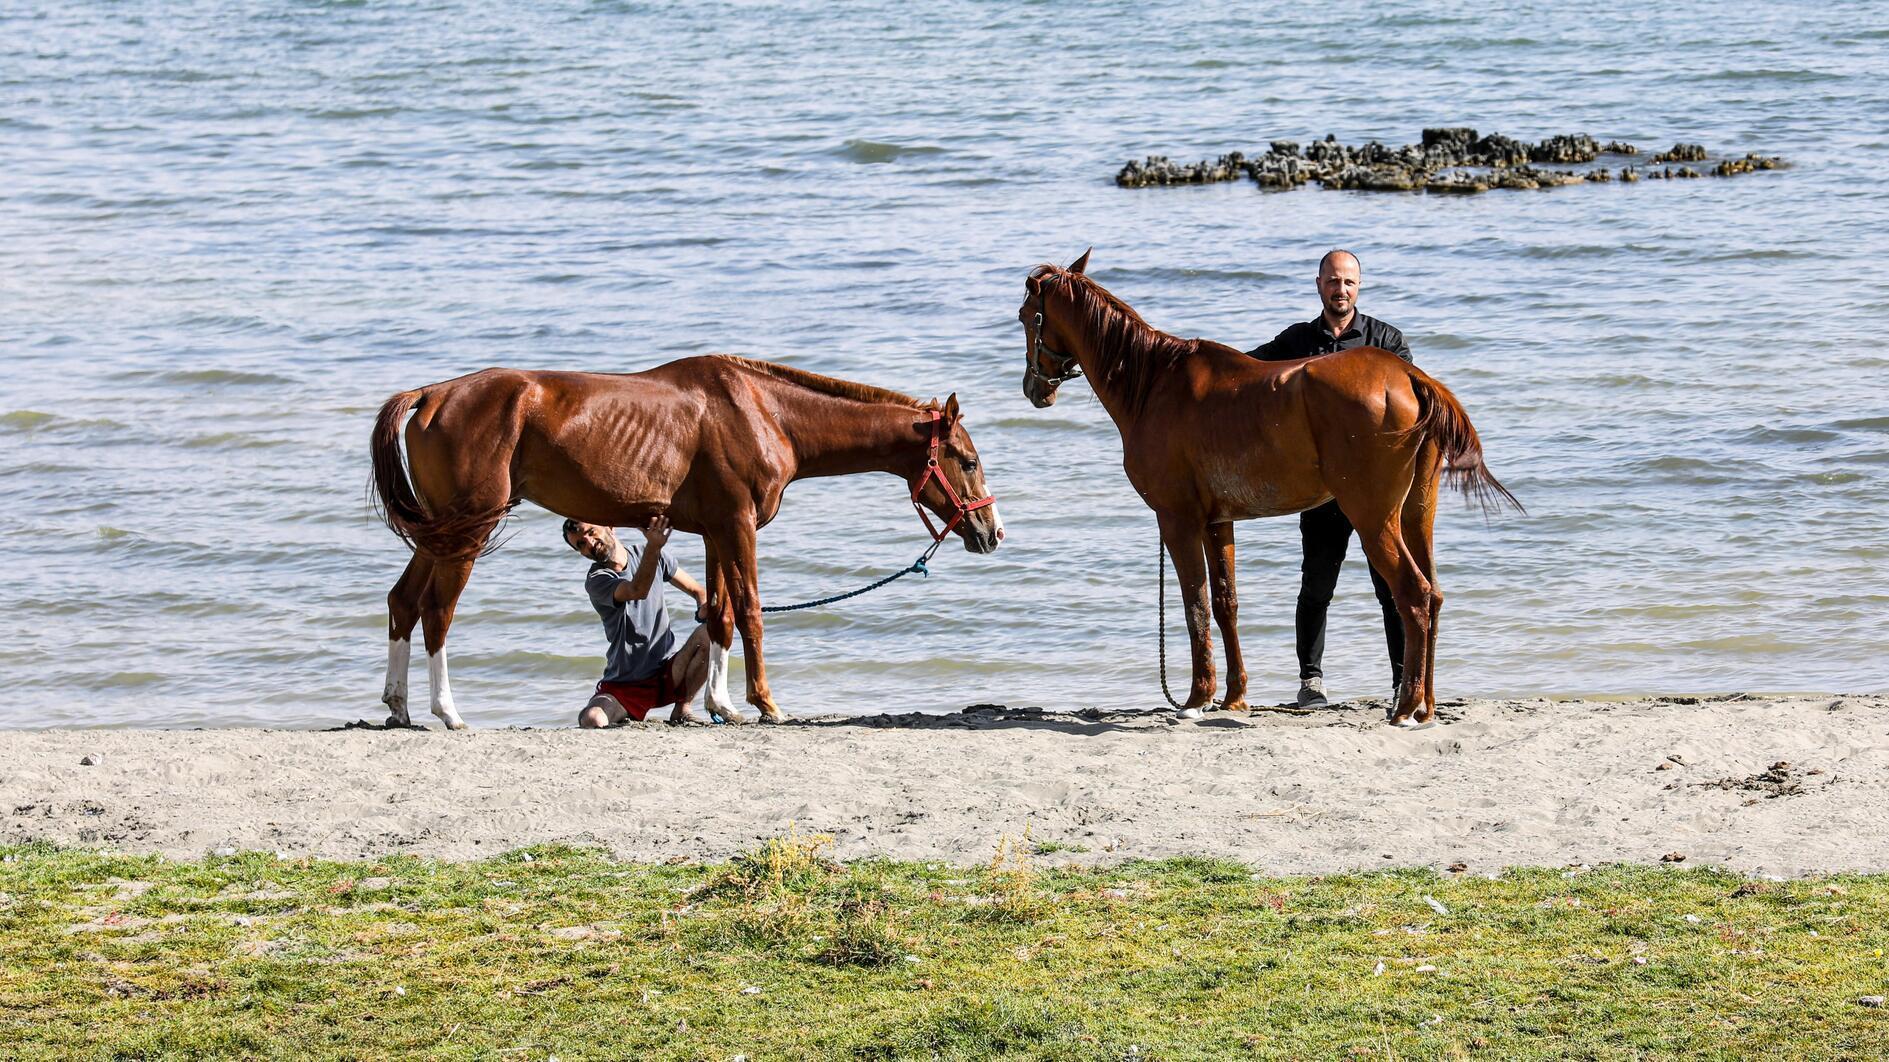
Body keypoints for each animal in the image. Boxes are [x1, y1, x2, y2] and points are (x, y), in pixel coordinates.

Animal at [366, 355, 1004, 725]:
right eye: (969, 460)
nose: (992, 532)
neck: (764, 412)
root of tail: (431, 395)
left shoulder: (715, 531)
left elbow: (717, 612)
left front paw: (718, 706)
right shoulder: (738, 527)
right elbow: (750, 610)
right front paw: (765, 704)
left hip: (440, 533)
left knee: (403, 602)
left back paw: (399, 708)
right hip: (467, 531)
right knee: (437, 612)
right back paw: (448, 713)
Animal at [1020, 251, 1518, 721]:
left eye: (1026, 316)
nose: (1033, 388)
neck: (1153, 383)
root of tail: (1408, 375)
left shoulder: (1177, 519)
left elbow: (1195, 603)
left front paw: (1197, 698)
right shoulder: (1216, 522)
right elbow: (1225, 603)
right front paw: (1234, 697)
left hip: (1374, 518)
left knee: (1412, 596)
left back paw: (1405, 709)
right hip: (1416, 516)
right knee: (1433, 596)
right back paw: (1427, 706)